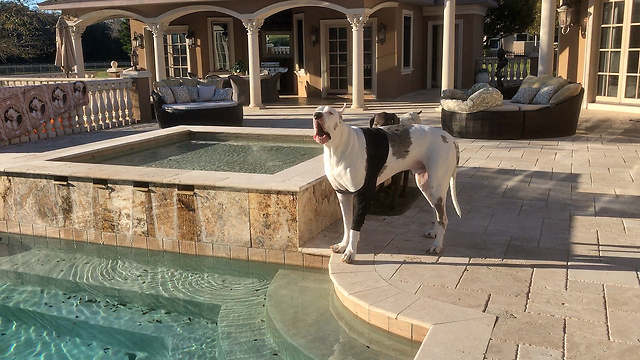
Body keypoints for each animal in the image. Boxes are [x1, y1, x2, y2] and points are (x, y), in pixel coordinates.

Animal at [314, 105, 460, 262]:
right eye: (317, 110)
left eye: (330, 112)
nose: (316, 115)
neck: (337, 147)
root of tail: (450, 138)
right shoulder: (343, 195)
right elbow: (347, 225)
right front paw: (342, 245)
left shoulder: (364, 195)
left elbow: (355, 226)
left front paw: (350, 252)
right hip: (425, 185)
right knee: (436, 212)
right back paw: (434, 232)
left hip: (436, 186)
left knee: (443, 217)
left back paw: (437, 245)